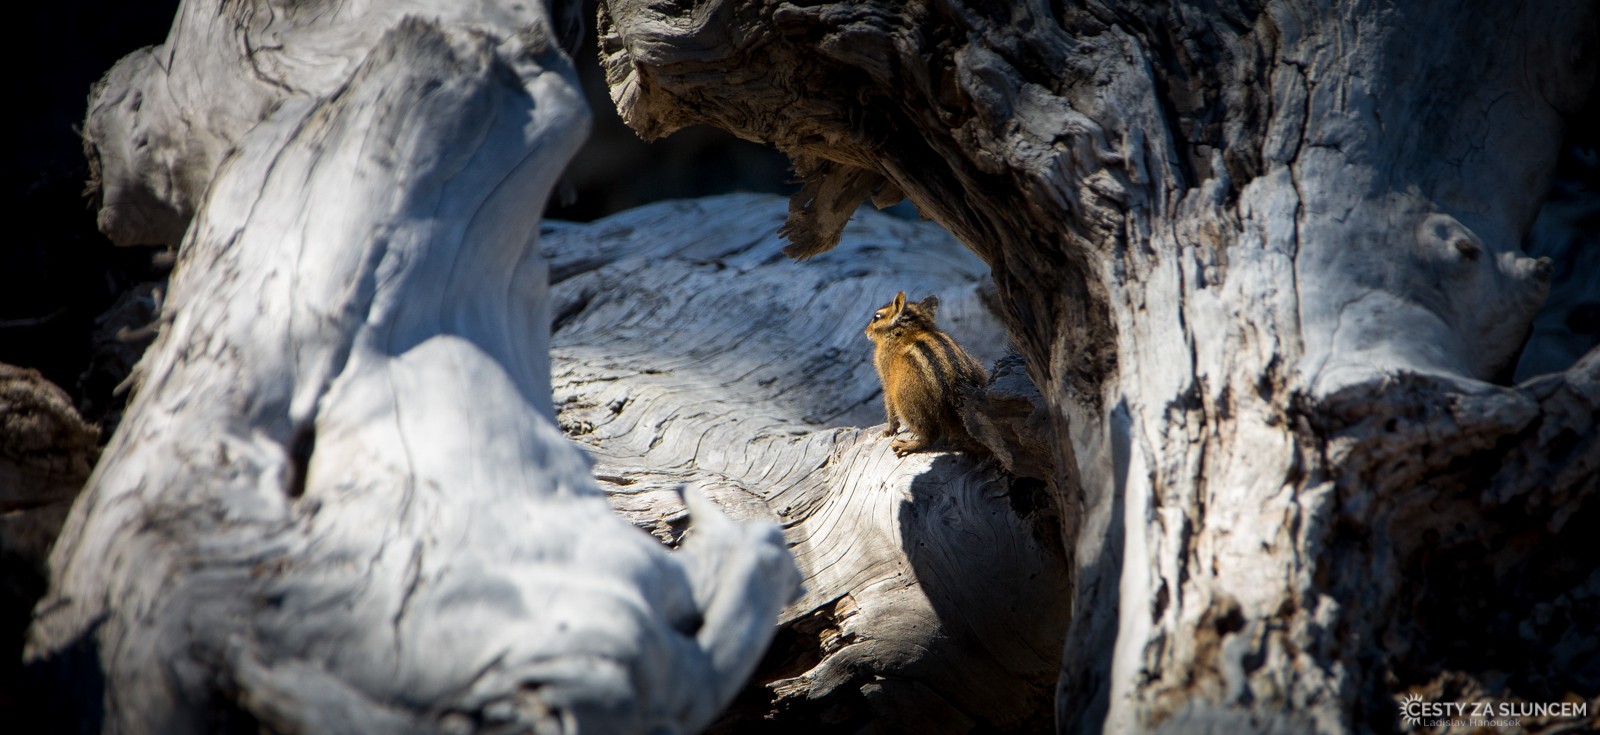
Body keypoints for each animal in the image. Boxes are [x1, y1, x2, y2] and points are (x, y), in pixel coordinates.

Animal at [865, 290, 987, 457]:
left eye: (876, 317)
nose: (865, 332)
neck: (908, 332)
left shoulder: (885, 375)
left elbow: (889, 404)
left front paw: (889, 430)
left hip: (907, 401)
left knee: (930, 436)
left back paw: (907, 445)